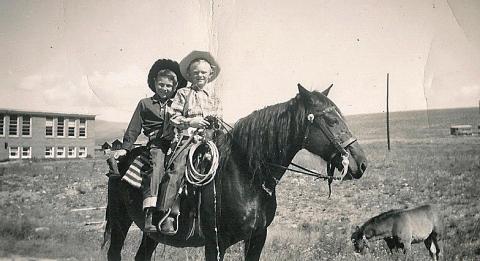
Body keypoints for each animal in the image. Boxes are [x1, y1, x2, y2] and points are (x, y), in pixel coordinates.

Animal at [104, 84, 368, 260]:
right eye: (331, 120)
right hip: (119, 222)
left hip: (150, 232)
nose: (361, 163)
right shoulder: (216, 243)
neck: (246, 175)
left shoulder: (257, 238)